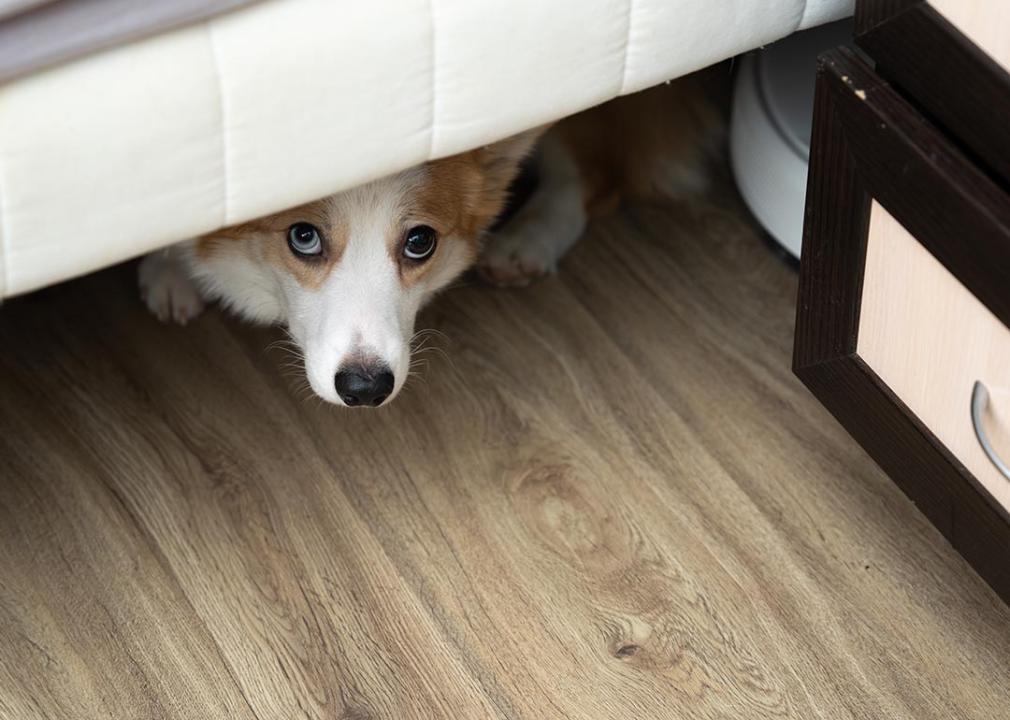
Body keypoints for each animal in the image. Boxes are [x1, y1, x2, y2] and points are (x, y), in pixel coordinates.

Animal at [138, 76, 723, 409]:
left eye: (420, 242)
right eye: (303, 237)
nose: (365, 389)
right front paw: (167, 268)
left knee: (593, 175)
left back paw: (526, 241)